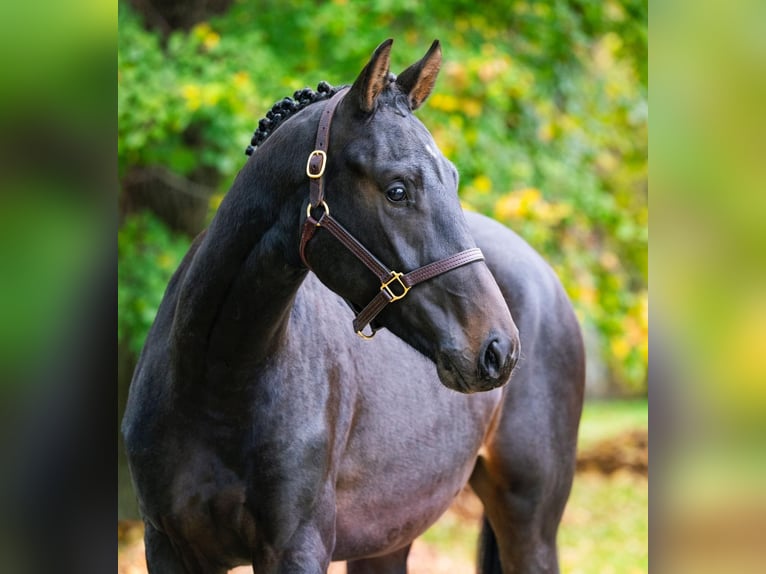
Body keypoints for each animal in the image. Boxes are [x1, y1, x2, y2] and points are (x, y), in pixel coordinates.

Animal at [123, 38, 584, 572]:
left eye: (452, 178)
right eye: (397, 189)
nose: (497, 349)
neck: (215, 378)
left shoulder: (296, 546)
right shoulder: (166, 545)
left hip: (530, 524)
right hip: (391, 534)